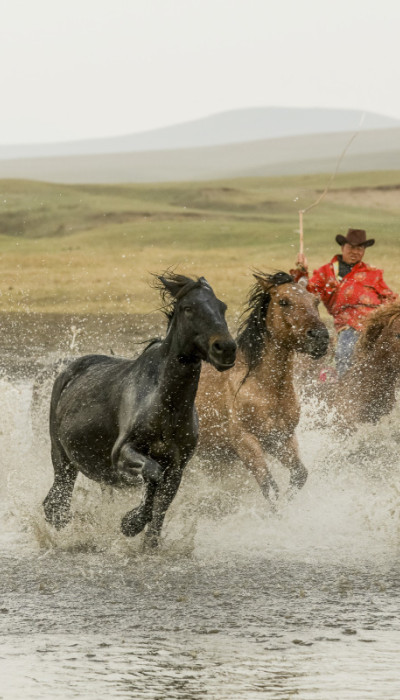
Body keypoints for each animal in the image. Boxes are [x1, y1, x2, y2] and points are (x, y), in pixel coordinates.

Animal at [43, 273, 236, 548]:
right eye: (188, 308)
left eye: (222, 307)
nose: (226, 348)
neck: (165, 408)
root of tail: (69, 370)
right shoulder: (123, 453)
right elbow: (152, 476)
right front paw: (130, 523)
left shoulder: (177, 466)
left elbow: (159, 506)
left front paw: (145, 540)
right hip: (62, 459)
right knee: (56, 503)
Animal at [195, 271, 329, 505]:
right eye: (283, 301)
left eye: (315, 301)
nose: (320, 337)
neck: (265, 389)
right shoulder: (245, 442)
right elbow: (270, 488)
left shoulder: (281, 439)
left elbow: (299, 474)